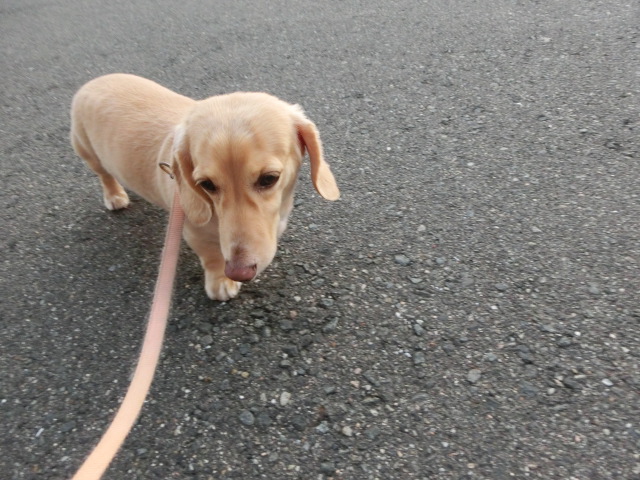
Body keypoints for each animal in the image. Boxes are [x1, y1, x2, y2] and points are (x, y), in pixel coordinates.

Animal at [70, 73, 340, 300]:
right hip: (88, 153)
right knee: (105, 175)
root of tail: (93, 81)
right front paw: (221, 281)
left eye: (269, 179)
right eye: (206, 185)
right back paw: (115, 196)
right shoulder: (194, 231)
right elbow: (212, 256)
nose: (239, 272)